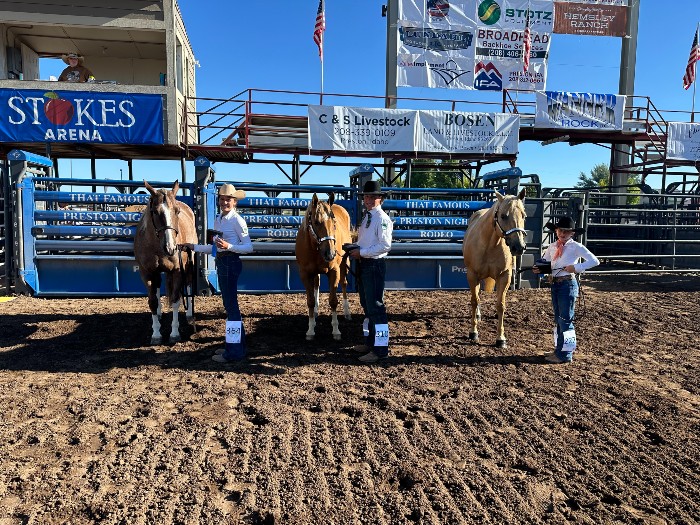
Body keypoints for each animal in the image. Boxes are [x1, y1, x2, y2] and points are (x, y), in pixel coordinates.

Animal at [133, 180, 197, 344]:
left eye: (177, 211)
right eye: (155, 212)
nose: (171, 247)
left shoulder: (177, 271)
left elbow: (175, 300)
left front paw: (174, 333)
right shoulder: (147, 273)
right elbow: (153, 302)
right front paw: (156, 334)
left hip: (189, 263)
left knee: (188, 284)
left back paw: (189, 314)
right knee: (156, 291)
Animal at [296, 192, 352, 340]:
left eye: (334, 223)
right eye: (316, 222)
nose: (330, 253)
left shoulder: (334, 271)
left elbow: (333, 301)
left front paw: (336, 330)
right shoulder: (305, 274)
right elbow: (310, 301)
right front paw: (310, 330)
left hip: (345, 262)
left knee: (344, 283)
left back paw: (347, 312)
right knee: (317, 284)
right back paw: (315, 312)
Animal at [462, 188, 528, 348]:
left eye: (523, 215)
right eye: (503, 216)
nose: (519, 247)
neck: (490, 244)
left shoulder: (505, 276)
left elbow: (501, 305)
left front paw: (501, 338)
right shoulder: (472, 275)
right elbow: (475, 300)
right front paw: (473, 332)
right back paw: (477, 315)